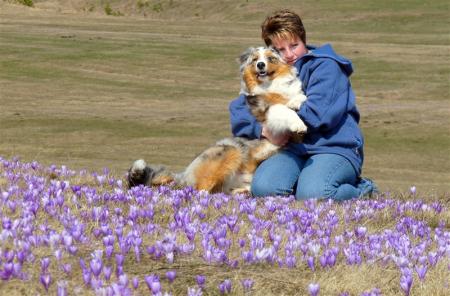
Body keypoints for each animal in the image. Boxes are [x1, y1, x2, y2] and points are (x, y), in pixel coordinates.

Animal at [128, 46, 308, 194]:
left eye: (271, 58)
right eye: (255, 59)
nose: (261, 65)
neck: (270, 86)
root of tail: (183, 175)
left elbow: (295, 98)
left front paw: (297, 101)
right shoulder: (260, 108)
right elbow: (282, 110)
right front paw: (299, 124)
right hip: (229, 151)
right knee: (198, 190)